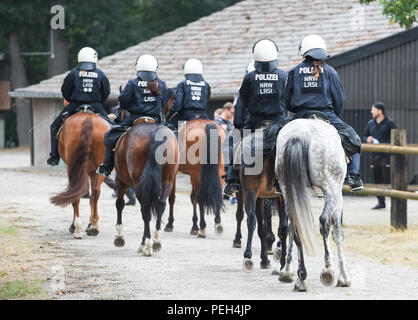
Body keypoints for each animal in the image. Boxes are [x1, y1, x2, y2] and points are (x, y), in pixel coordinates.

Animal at [49, 111, 111, 239]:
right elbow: (92, 197)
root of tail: (88, 119)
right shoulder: (91, 172)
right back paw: (93, 228)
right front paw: (92, 223)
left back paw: (77, 228)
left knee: (76, 194)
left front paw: (76, 225)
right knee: (96, 191)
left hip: (73, 167)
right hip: (100, 167)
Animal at [111, 121, 178, 256]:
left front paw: (119, 237)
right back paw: (156, 241)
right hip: (168, 180)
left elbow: (119, 204)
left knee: (145, 210)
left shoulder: (121, 181)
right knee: (161, 204)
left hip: (138, 184)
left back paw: (145, 244)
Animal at [276, 119, 352, 292]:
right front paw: (342, 276)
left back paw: (301, 278)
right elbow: (337, 232)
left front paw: (287, 272)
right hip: (331, 189)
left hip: (288, 191)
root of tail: (301, 133)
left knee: (296, 227)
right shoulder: (338, 195)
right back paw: (326, 271)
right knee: (323, 222)